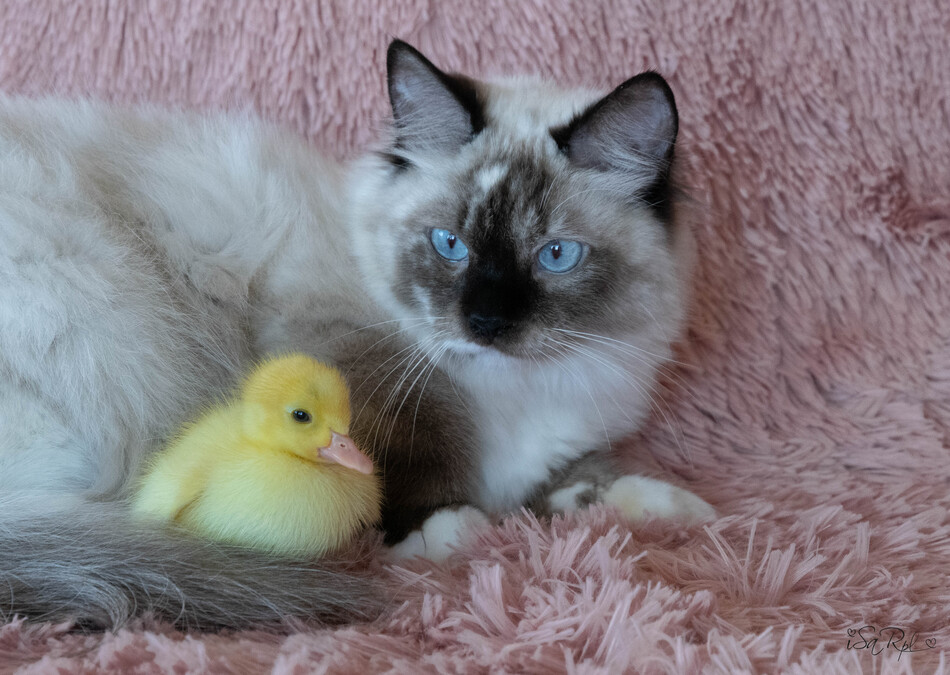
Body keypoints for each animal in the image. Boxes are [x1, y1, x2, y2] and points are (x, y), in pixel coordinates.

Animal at [0, 40, 713, 630]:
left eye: (556, 256)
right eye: (449, 244)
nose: (485, 323)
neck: (515, 391)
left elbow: (589, 479)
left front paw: (678, 510)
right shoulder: (345, 358)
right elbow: (403, 453)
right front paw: (448, 529)